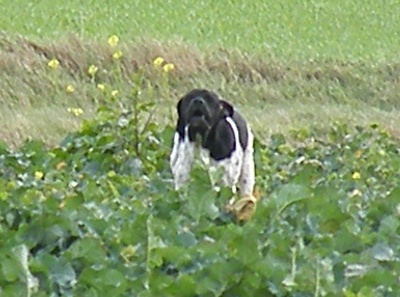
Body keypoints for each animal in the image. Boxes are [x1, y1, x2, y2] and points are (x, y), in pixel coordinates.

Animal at [169, 88, 256, 217]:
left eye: (210, 99)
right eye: (189, 97)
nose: (198, 101)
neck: (200, 142)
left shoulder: (225, 183)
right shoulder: (183, 180)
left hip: (247, 174)